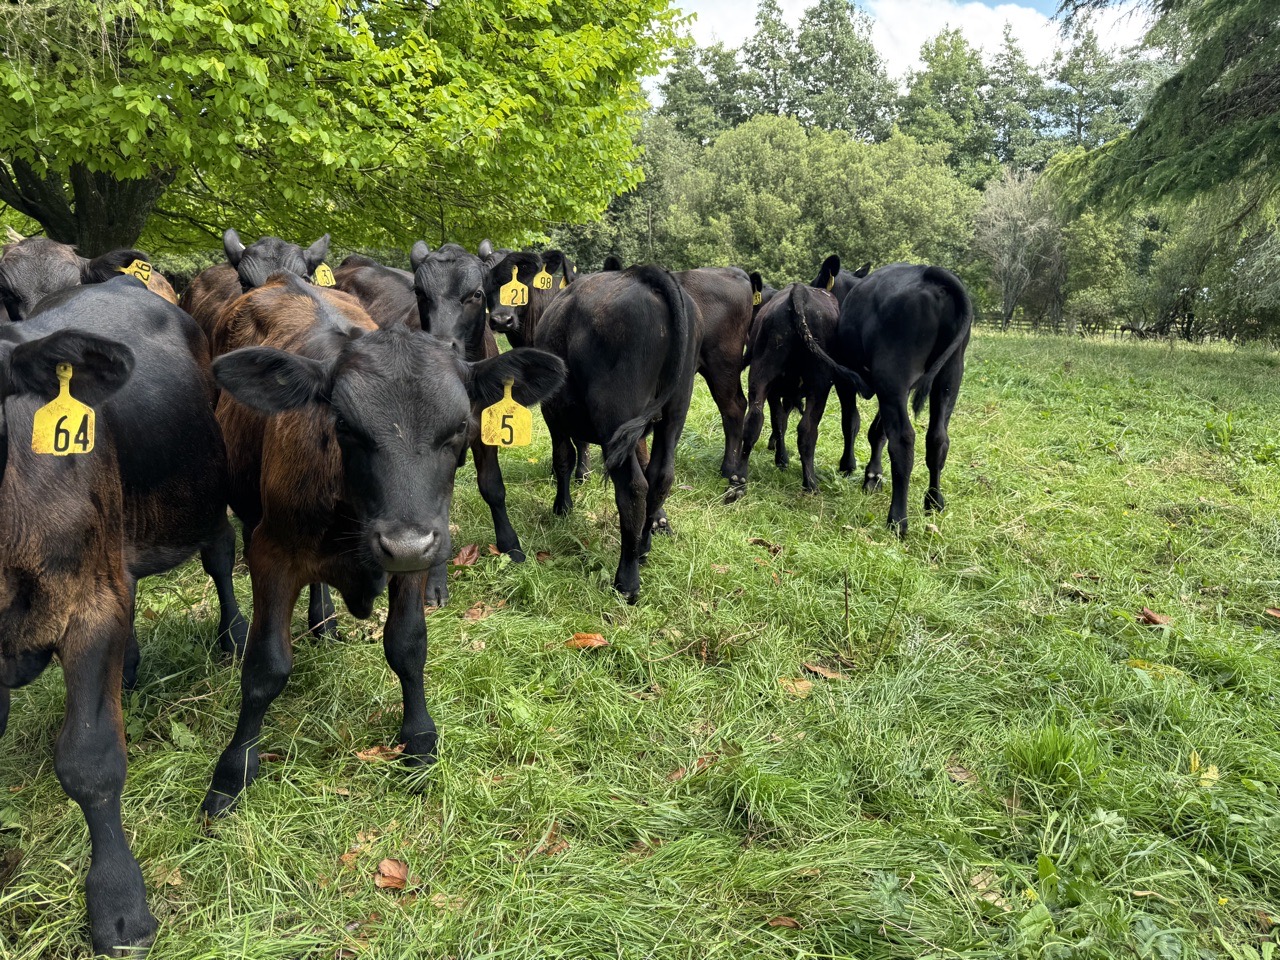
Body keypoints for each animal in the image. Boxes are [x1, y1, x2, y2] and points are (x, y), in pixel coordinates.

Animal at [199, 273, 564, 819]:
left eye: (460, 426)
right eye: (344, 426)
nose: (405, 543)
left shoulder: (414, 558)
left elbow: (407, 645)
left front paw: (419, 739)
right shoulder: (273, 554)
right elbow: (266, 666)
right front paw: (232, 770)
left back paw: (324, 621)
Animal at [534, 266, 696, 602]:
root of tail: (643, 274)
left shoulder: (552, 413)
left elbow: (563, 458)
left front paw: (562, 507)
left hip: (615, 411)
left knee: (633, 487)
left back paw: (627, 580)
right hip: (675, 411)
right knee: (660, 477)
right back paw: (643, 548)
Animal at [793, 263, 973, 536]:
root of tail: (930, 273)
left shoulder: (846, 378)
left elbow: (851, 422)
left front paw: (848, 465)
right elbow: (877, 431)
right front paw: (872, 476)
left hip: (893, 374)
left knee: (903, 440)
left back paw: (898, 520)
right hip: (949, 376)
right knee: (938, 438)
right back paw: (933, 501)